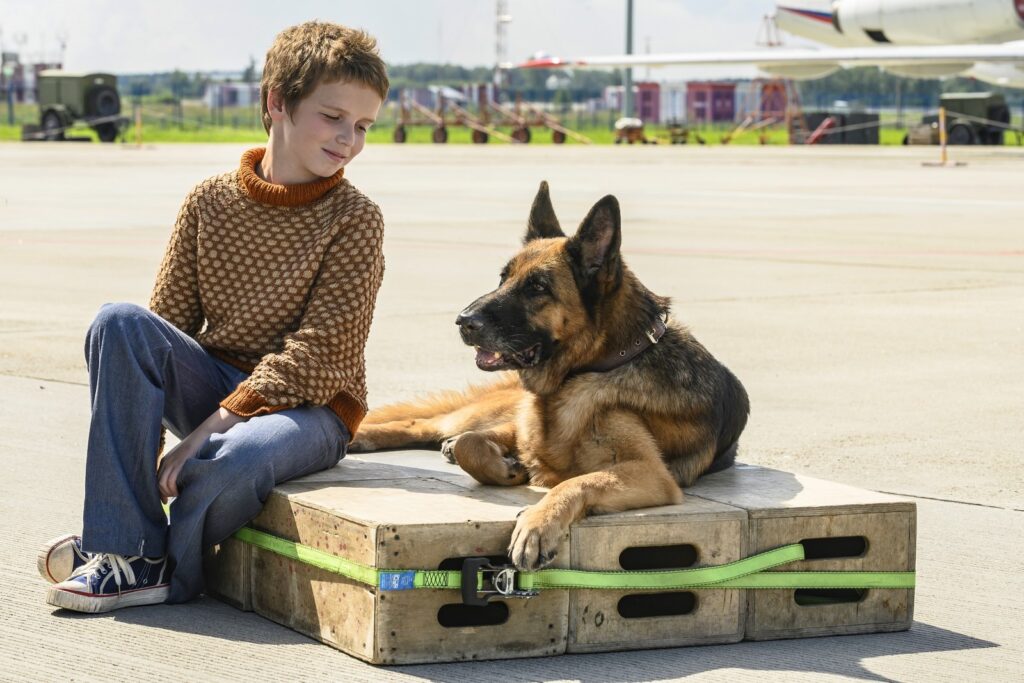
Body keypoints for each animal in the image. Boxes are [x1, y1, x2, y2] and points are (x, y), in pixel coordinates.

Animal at [348, 181, 749, 573]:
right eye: (503, 278)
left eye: (538, 287)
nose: (463, 321)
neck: (595, 366)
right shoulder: (520, 430)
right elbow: (472, 445)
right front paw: (505, 468)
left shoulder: (650, 474)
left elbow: (576, 481)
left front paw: (537, 525)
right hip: (485, 412)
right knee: (424, 424)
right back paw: (363, 436)